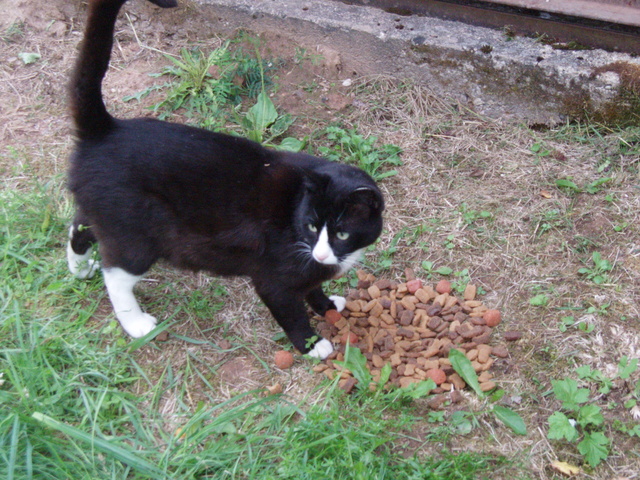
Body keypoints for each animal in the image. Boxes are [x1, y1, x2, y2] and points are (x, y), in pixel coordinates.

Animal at [67, 0, 382, 360]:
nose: (320, 255)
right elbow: (290, 310)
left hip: (105, 212)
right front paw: (312, 344)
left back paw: (79, 268)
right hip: (136, 236)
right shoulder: (275, 278)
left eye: (342, 233)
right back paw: (136, 324)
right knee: (117, 275)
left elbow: (313, 288)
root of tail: (106, 130)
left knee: (80, 226)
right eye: (313, 226)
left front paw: (327, 305)